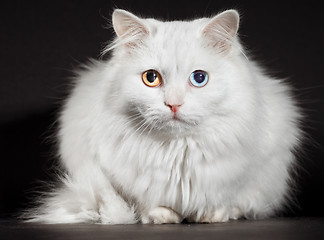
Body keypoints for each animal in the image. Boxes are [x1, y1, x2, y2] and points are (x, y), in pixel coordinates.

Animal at [25, 8, 302, 223]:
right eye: (151, 78)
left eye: (199, 78)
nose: (174, 104)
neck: (179, 152)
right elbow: (145, 203)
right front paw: (163, 216)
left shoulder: (255, 169)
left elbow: (229, 198)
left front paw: (212, 215)